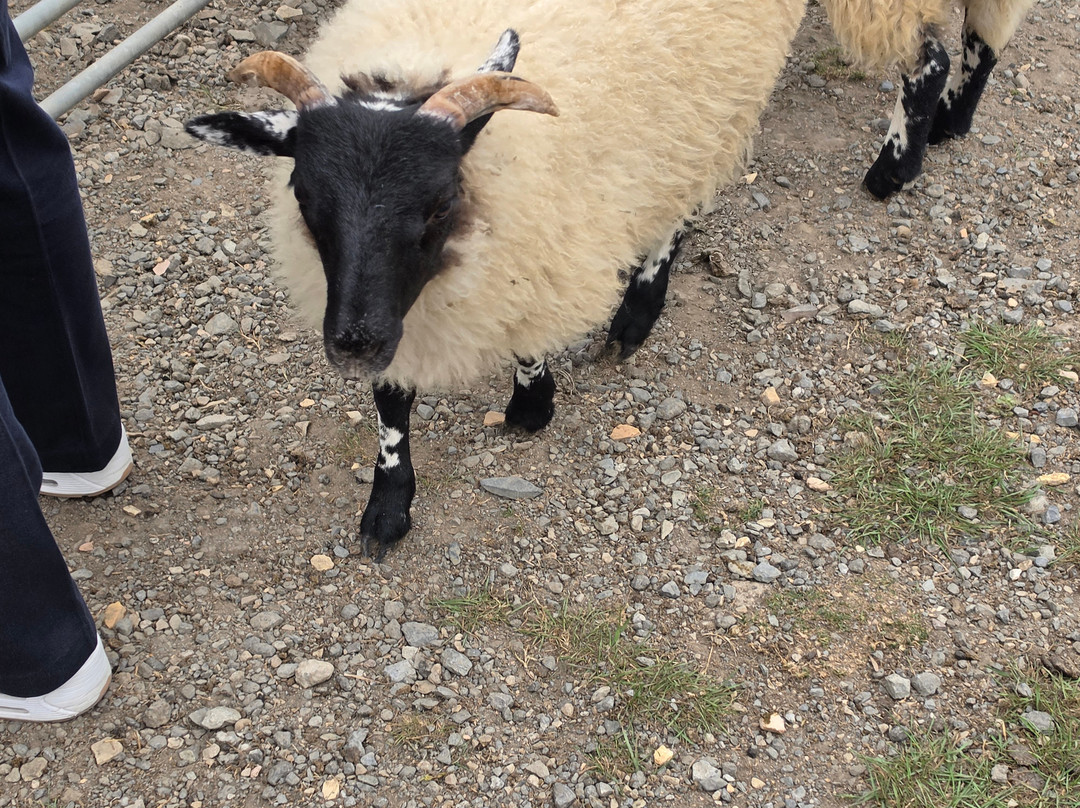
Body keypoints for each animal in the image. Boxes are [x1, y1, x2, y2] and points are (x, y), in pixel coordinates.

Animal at [185, 0, 807, 559]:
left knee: (679, 208)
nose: (354, 346)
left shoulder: (536, 249)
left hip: (709, 112)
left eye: (441, 204)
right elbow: (390, 410)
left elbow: (528, 336)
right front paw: (388, 507)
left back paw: (638, 311)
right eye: (303, 194)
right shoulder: (391, 311)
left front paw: (532, 407)